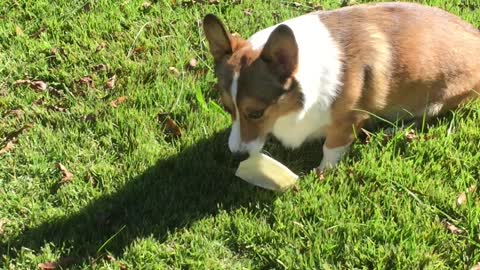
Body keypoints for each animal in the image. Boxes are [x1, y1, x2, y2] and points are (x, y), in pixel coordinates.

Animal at [202, 1, 480, 171]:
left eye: (256, 113)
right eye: (228, 109)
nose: (236, 155)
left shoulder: (348, 121)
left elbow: (331, 146)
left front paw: (322, 172)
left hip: (441, 100)